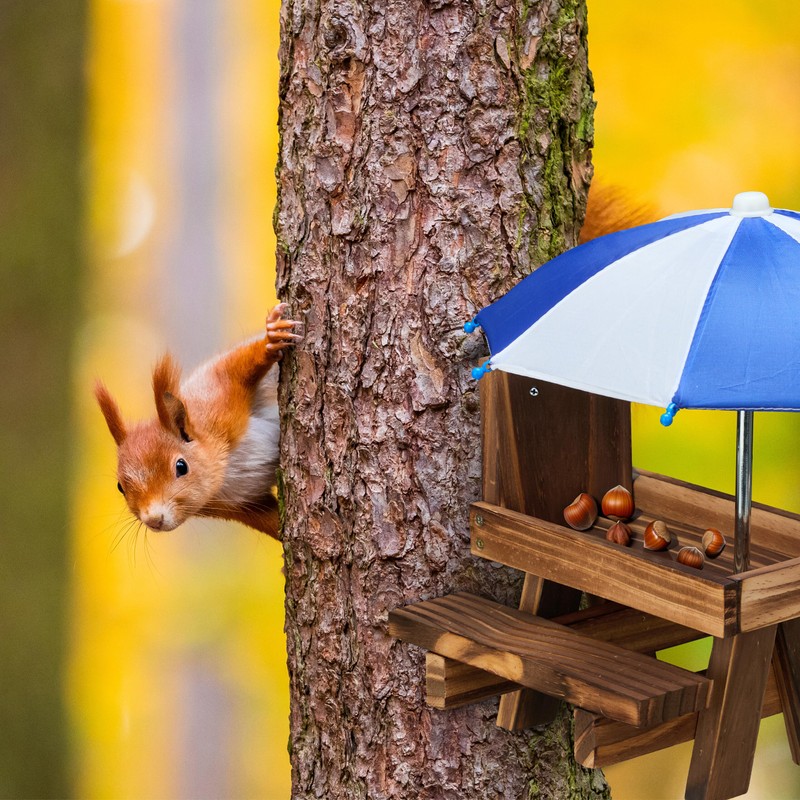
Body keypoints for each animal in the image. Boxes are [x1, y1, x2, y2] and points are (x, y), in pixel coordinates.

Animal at [95, 303, 301, 540]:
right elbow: (273, 521)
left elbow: (237, 366)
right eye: (120, 486)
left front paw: (271, 339)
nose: (154, 520)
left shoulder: (217, 397)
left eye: (181, 466)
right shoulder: (244, 505)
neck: (223, 474)